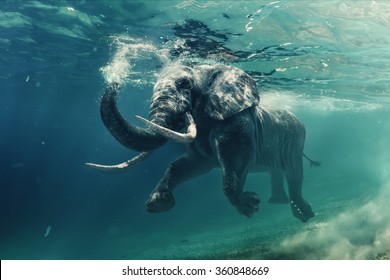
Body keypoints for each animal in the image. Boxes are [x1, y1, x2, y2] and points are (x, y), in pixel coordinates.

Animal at [86, 64, 316, 223]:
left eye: (184, 84)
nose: (115, 83)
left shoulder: (237, 123)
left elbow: (235, 160)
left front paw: (249, 206)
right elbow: (188, 164)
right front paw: (158, 203)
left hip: (296, 142)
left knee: (295, 174)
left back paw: (304, 214)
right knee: (278, 171)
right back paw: (279, 203)